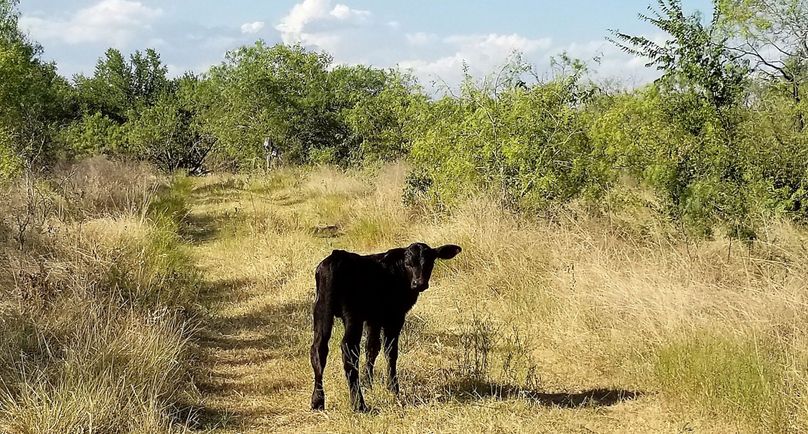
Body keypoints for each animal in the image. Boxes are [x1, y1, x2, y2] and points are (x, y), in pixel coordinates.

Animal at [309, 242, 462, 412]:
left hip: (321, 309)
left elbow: (371, 348)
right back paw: (359, 404)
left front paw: (368, 383)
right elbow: (390, 350)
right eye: (408, 263)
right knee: (349, 348)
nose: (419, 283)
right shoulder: (394, 317)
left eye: (430, 262)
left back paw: (317, 400)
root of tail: (335, 257)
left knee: (318, 349)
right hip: (352, 315)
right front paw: (393, 388)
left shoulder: (373, 318)